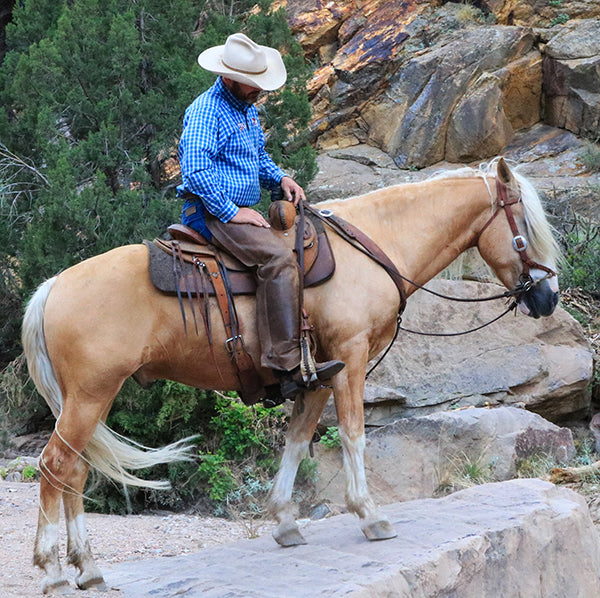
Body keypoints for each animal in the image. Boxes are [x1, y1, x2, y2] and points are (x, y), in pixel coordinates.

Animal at [22, 157, 556, 592]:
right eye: (525, 229)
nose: (548, 298)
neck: (373, 247)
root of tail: (52, 286)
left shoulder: (317, 374)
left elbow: (297, 441)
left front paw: (284, 523)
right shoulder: (350, 359)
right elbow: (353, 434)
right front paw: (370, 515)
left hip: (90, 399)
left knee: (75, 471)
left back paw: (89, 569)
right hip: (91, 395)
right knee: (54, 467)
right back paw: (54, 572)